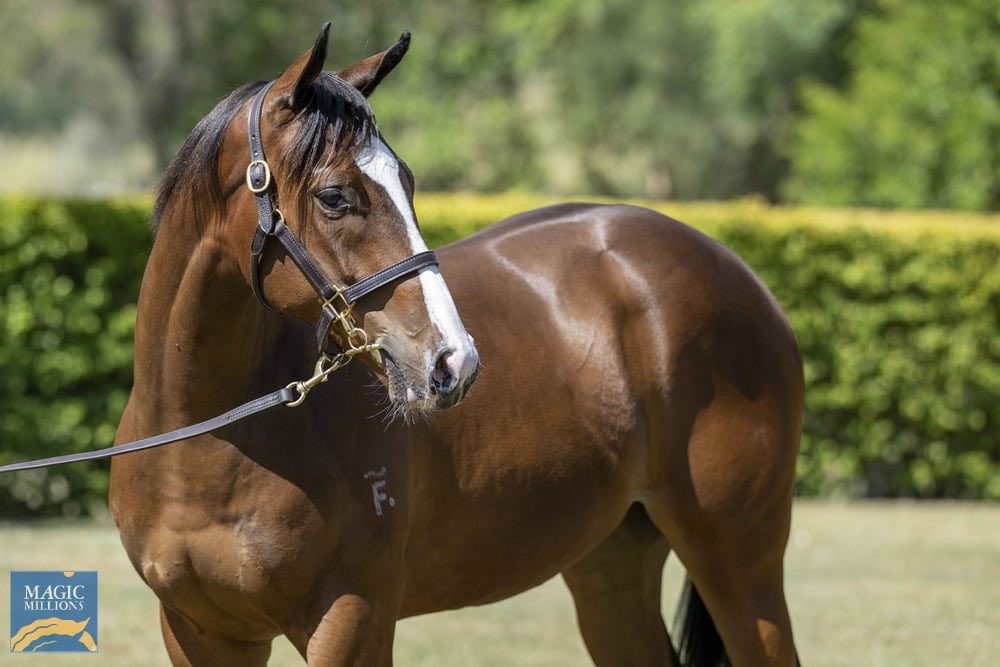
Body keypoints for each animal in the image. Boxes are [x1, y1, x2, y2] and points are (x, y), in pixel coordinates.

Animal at [109, 23, 800, 664]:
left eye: (409, 182)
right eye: (334, 197)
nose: (453, 361)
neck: (207, 442)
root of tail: (740, 275)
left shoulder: (351, 619)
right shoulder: (200, 631)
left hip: (739, 561)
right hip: (612, 565)